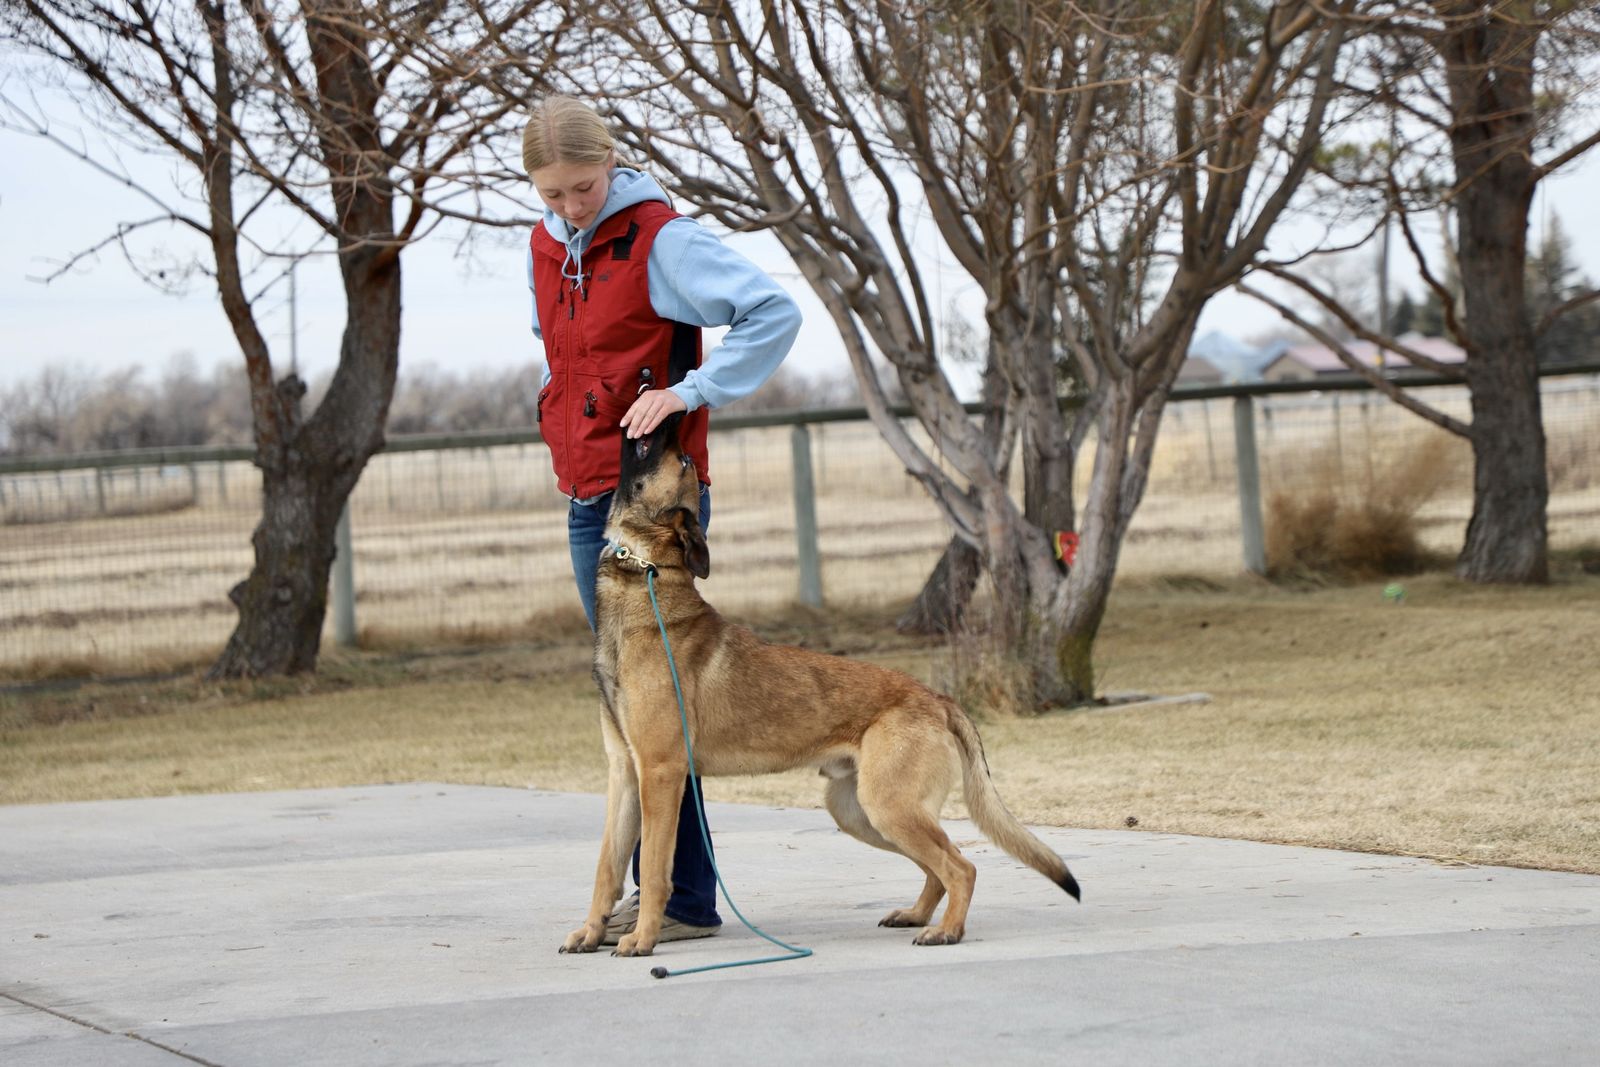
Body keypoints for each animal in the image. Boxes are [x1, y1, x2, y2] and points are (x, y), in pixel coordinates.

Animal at [559, 413, 1080, 957]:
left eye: (681, 458)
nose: (673, 413)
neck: (645, 574)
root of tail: (937, 699)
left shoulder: (660, 774)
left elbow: (655, 867)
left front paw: (641, 939)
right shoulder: (624, 773)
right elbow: (607, 867)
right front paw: (592, 932)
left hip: (887, 808)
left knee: (962, 865)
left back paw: (946, 930)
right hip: (861, 812)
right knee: (940, 865)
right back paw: (917, 915)